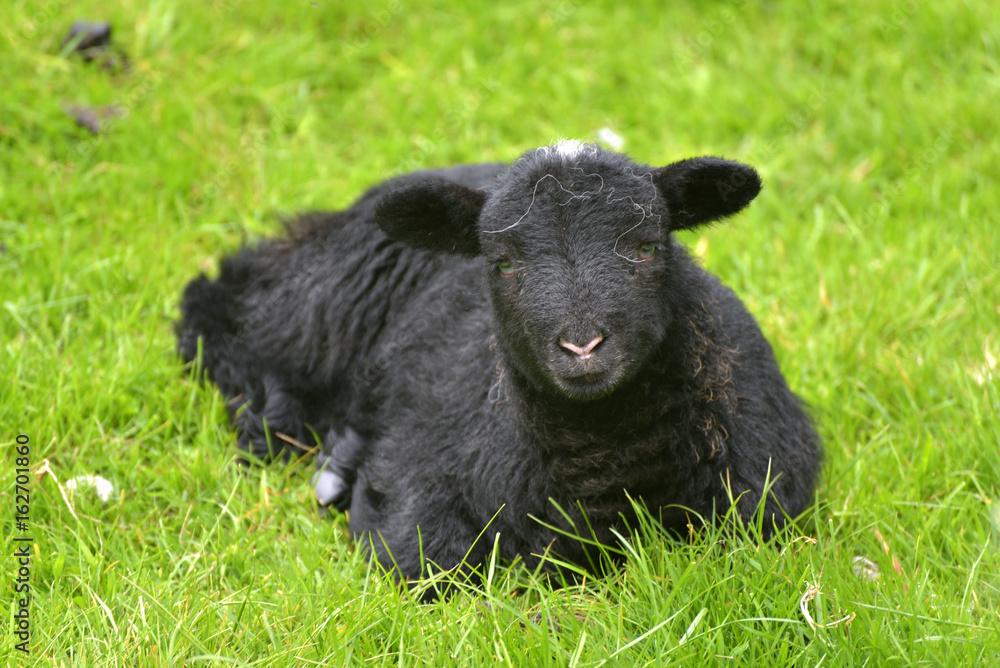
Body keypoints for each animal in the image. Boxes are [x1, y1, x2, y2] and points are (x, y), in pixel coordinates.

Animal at [177, 141, 822, 590]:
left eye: (648, 247)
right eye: (502, 262)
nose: (582, 347)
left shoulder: (766, 500)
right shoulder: (420, 473)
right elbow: (428, 568)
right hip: (320, 302)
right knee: (220, 307)